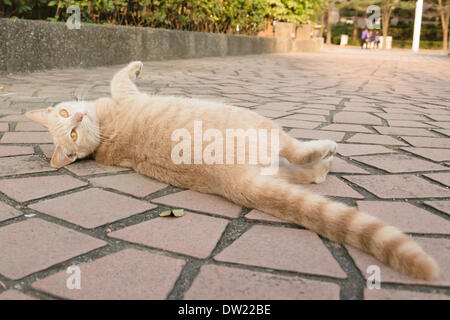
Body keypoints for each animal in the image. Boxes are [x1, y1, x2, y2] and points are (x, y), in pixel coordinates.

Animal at [26, 60, 438, 280]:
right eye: (71, 129)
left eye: (67, 117)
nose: (78, 116)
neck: (103, 134)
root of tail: (235, 182)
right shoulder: (125, 93)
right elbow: (120, 76)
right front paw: (136, 67)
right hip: (264, 126)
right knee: (297, 153)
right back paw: (324, 152)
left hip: (268, 169)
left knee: (297, 176)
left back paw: (320, 171)